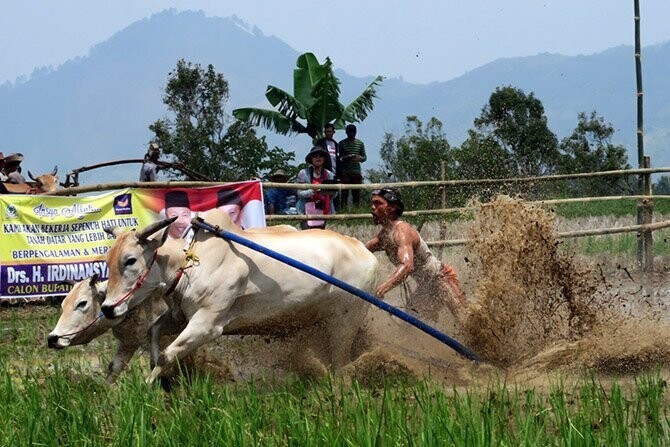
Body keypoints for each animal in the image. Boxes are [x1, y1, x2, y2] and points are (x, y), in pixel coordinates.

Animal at [100, 208, 378, 384]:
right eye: (108, 259)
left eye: (130, 260)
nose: (107, 308)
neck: (188, 263)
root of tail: (363, 250)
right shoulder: (181, 317)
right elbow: (154, 332)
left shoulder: (207, 325)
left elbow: (168, 354)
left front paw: (148, 387)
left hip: (344, 322)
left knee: (341, 364)